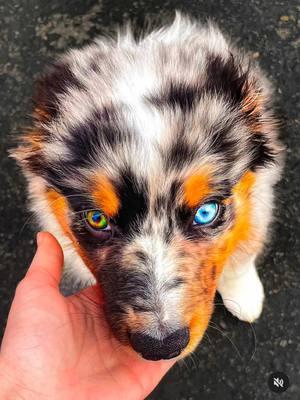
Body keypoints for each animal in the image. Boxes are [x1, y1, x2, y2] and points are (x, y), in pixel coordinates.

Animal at [11, 14, 284, 360]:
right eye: (97, 219)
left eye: (206, 212)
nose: (161, 346)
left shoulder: (259, 196)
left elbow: (244, 249)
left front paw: (246, 297)